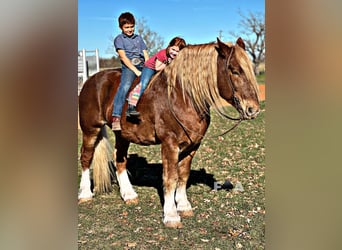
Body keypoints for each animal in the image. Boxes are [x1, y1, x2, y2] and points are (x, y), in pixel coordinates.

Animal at [78, 38, 260, 228]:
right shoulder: (169, 144)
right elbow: (170, 178)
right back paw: (85, 194)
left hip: (122, 134)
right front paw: (171, 215)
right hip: (90, 129)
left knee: (119, 159)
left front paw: (184, 206)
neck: (182, 96)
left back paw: (129, 194)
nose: (253, 109)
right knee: (86, 157)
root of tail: (91, 80)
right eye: (235, 71)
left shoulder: (192, 145)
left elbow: (183, 176)